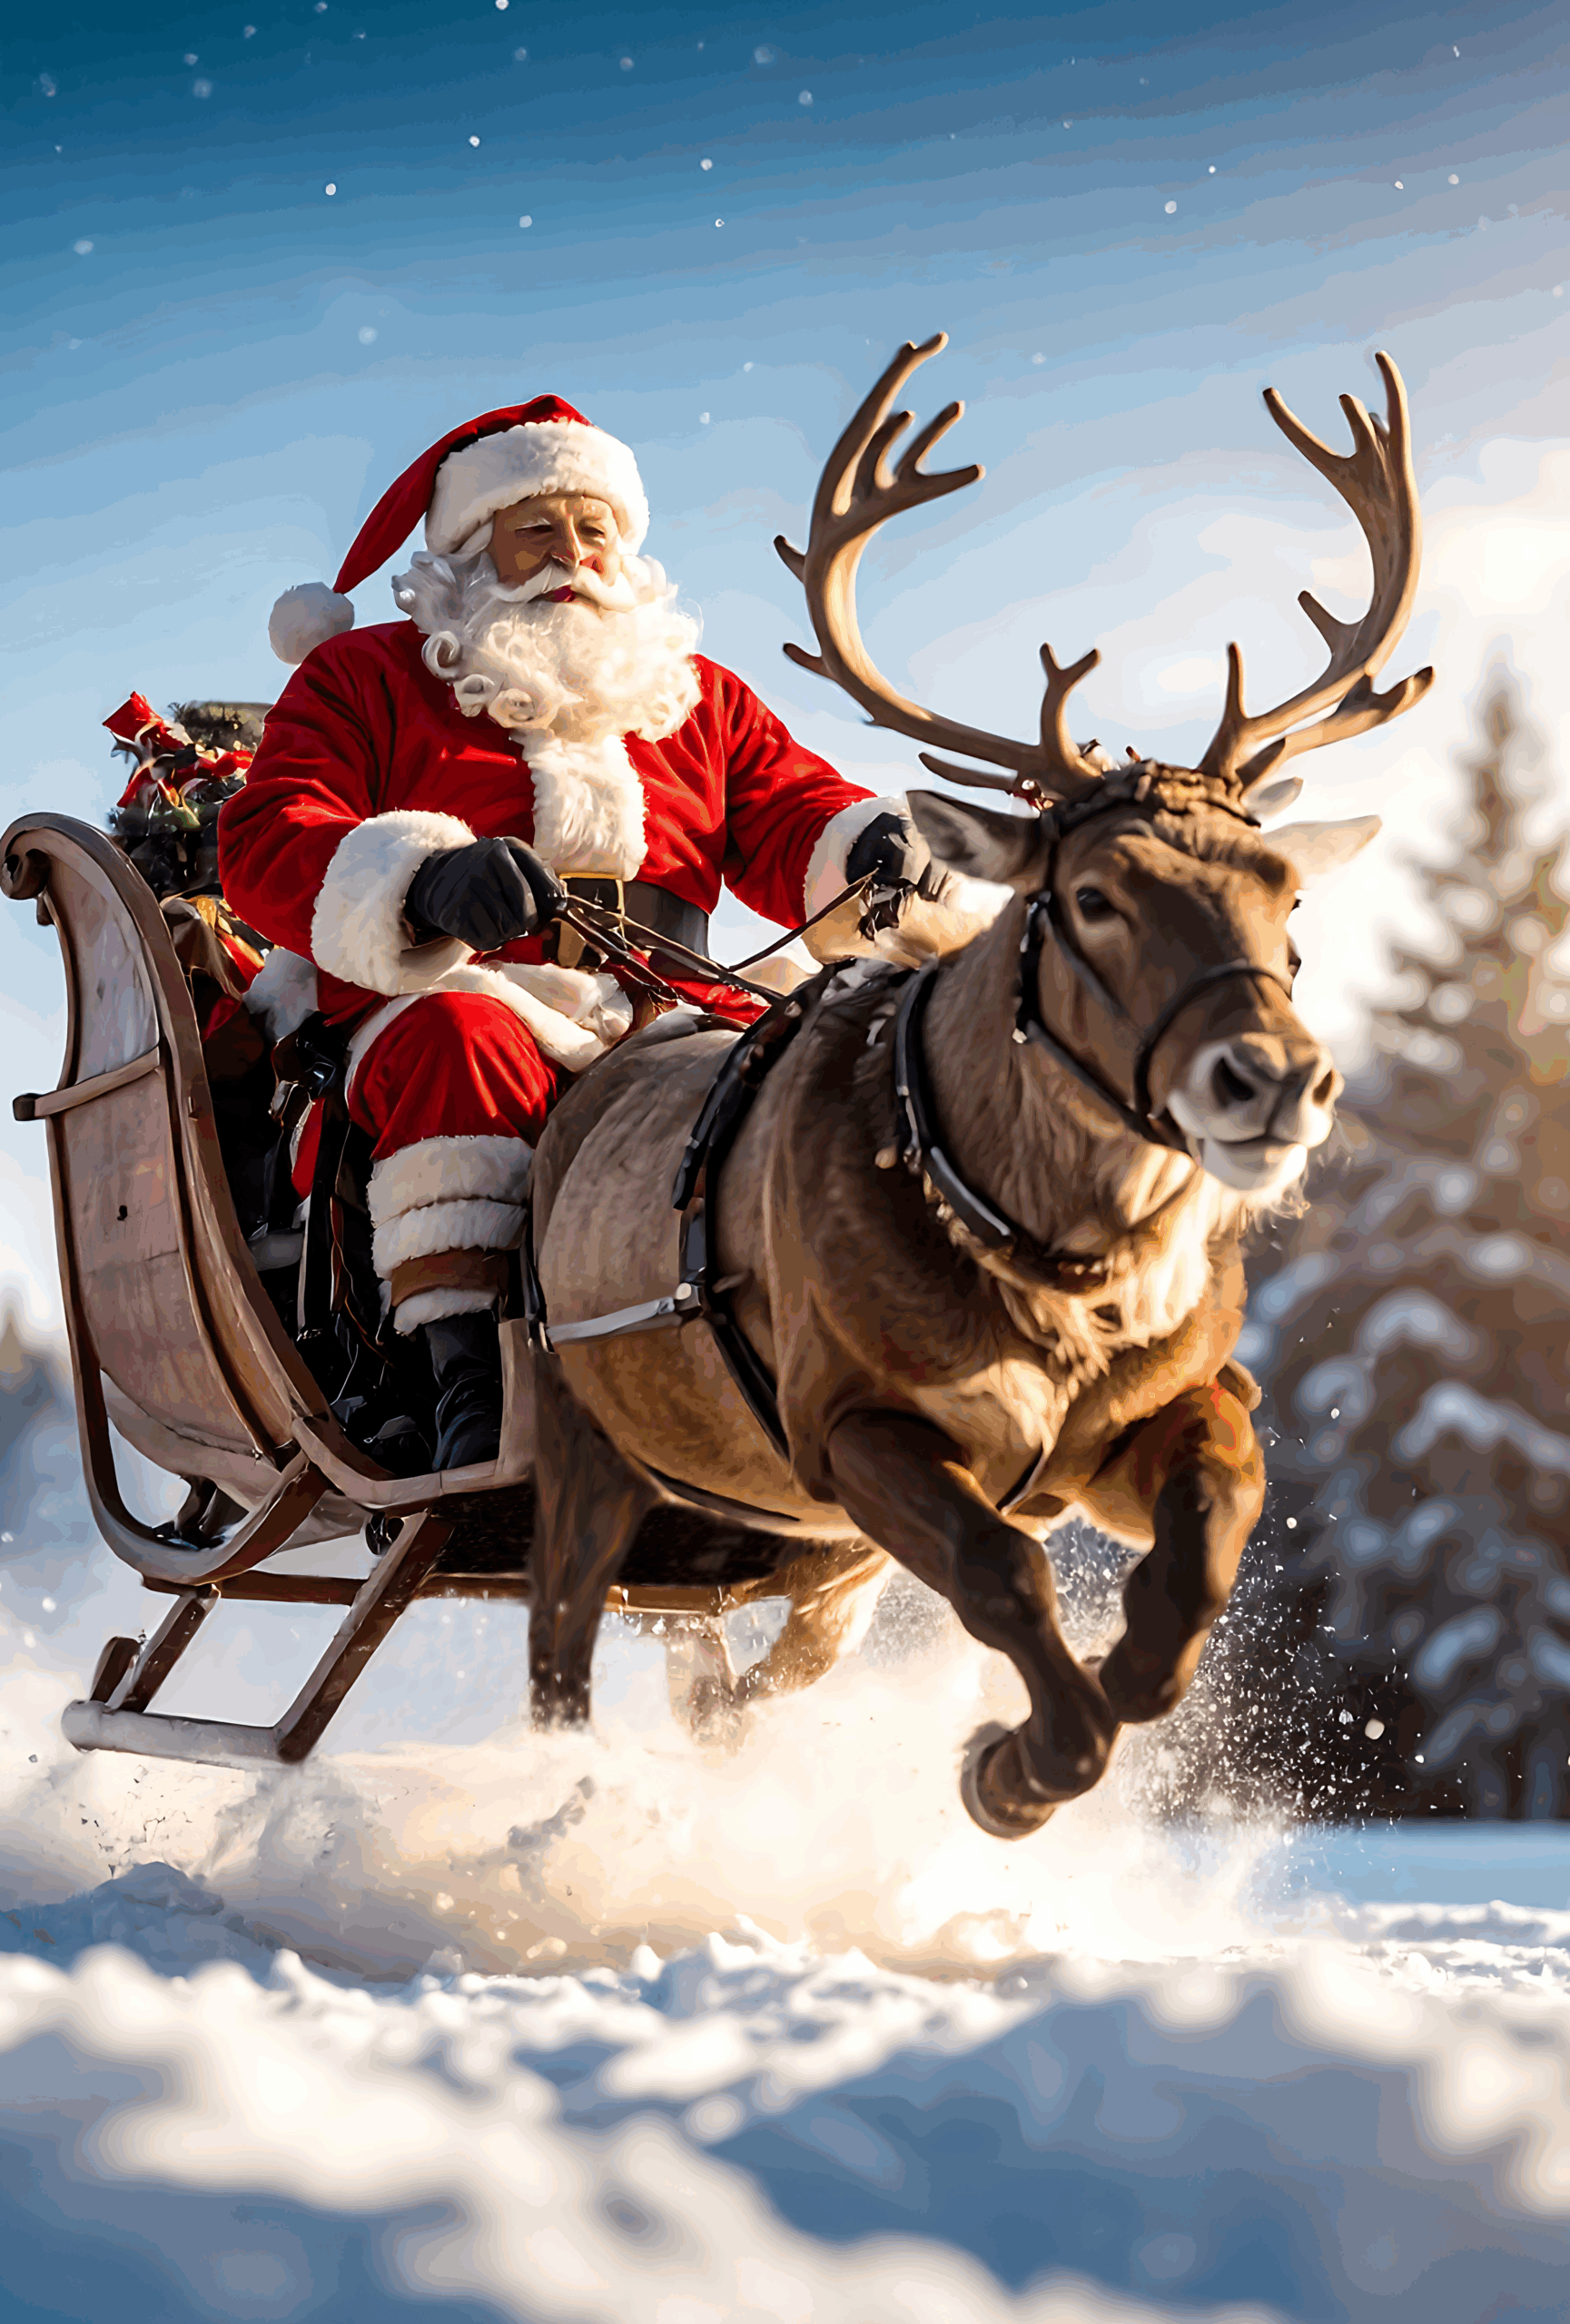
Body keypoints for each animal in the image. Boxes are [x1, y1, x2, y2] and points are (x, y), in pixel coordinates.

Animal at [522, 335, 1431, 1836]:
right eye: (1093, 895)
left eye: (1284, 887)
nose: (1276, 1079)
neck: (1057, 1265)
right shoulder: (843, 1424)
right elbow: (1004, 1574)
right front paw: (1014, 1768)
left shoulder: (1166, 1410)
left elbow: (1208, 1546)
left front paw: (1094, 1695)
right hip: (583, 1450)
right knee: (562, 1653)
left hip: (783, 1546)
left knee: (746, 1668)